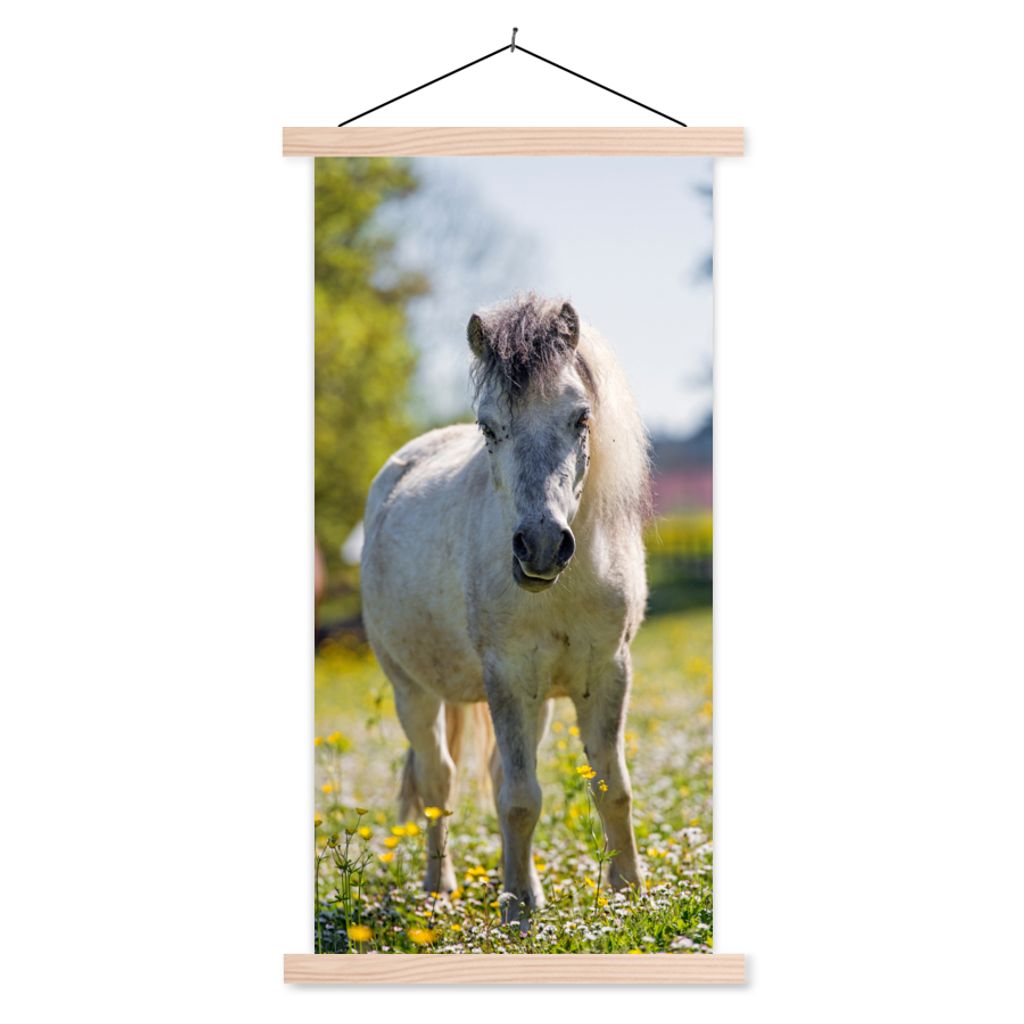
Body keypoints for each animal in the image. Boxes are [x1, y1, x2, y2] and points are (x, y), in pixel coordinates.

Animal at [360, 294, 651, 922]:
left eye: (581, 418)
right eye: (488, 427)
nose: (540, 546)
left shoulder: (607, 672)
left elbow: (612, 787)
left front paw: (631, 894)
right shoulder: (508, 678)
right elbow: (520, 798)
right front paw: (518, 909)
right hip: (413, 692)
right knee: (438, 782)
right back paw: (439, 889)